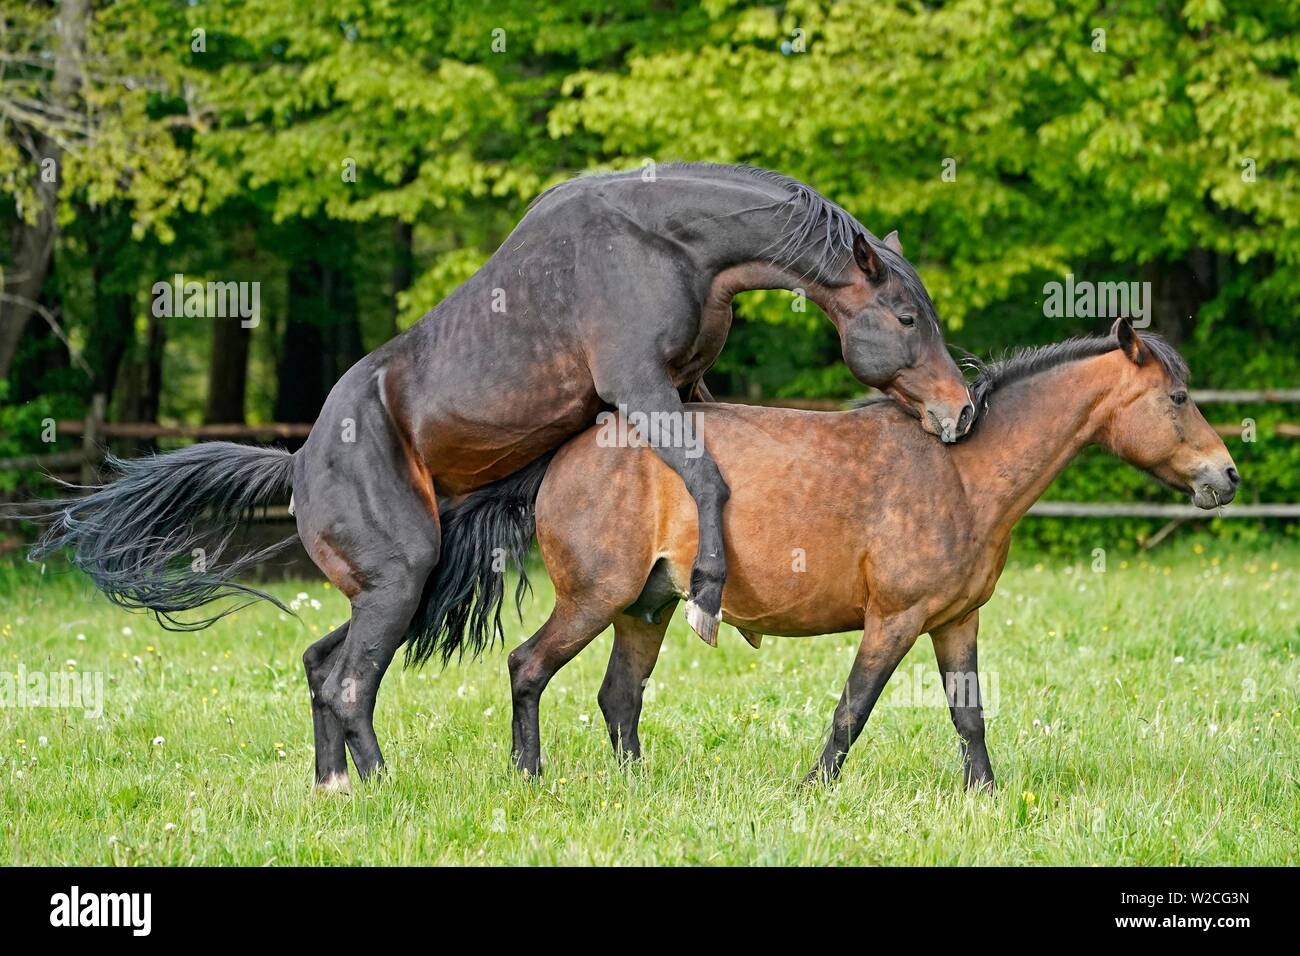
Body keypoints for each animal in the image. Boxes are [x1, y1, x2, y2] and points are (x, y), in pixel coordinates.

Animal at [30, 163, 974, 791]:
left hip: (387, 590)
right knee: (348, 682)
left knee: (321, 664)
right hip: (400, 577)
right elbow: (710, 484)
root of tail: (297, 464)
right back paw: (382, 789)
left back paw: (332, 786)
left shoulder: (688, 392)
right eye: (904, 316)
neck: (663, 240)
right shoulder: (643, 389)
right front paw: (708, 593)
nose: (959, 413)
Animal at [422, 319, 1238, 789]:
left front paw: (986, 794)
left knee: (619, 698)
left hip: (645, 609)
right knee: (528, 668)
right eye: (1177, 398)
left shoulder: (957, 621)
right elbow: (853, 709)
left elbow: (968, 714)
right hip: (594, 599)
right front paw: (814, 789)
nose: (1226, 475)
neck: (961, 471)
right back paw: (530, 780)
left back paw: (636, 790)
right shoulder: (895, 620)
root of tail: (565, 451)